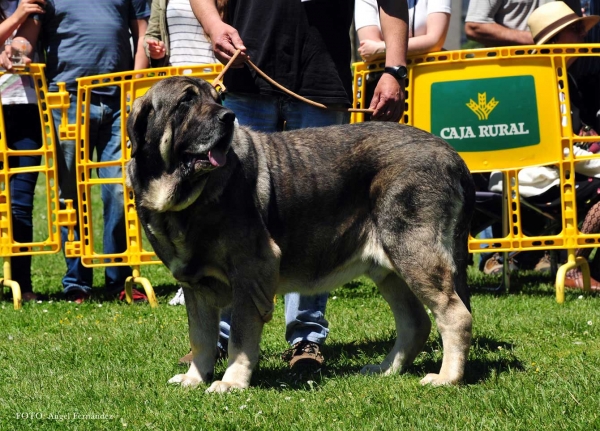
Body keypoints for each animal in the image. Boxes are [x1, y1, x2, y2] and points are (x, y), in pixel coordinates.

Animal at [127, 76, 478, 394]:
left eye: (217, 100)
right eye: (185, 101)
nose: (229, 117)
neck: (182, 199)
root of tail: (452, 153)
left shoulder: (251, 271)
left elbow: (240, 337)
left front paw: (231, 382)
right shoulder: (195, 286)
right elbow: (201, 337)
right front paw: (195, 378)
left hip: (414, 252)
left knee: (455, 315)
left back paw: (446, 378)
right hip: (389, 267)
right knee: (415, 322)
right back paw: (386, 368)